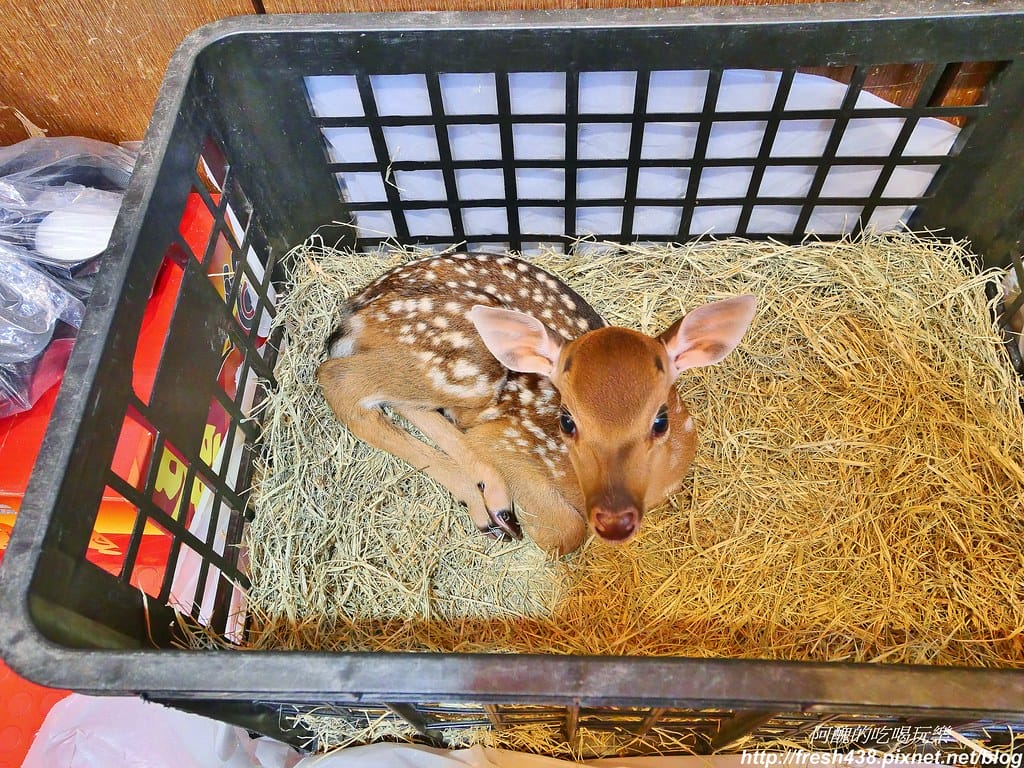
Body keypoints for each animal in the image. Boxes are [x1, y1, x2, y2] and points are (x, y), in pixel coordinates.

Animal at [317, 252, 756, 556]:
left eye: (660, 421)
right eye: (567, 421)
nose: (614, 516)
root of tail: (356, 308)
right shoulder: (506, 439)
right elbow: (565, 533)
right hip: (468, 363)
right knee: (336, 378)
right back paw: (488, 506)